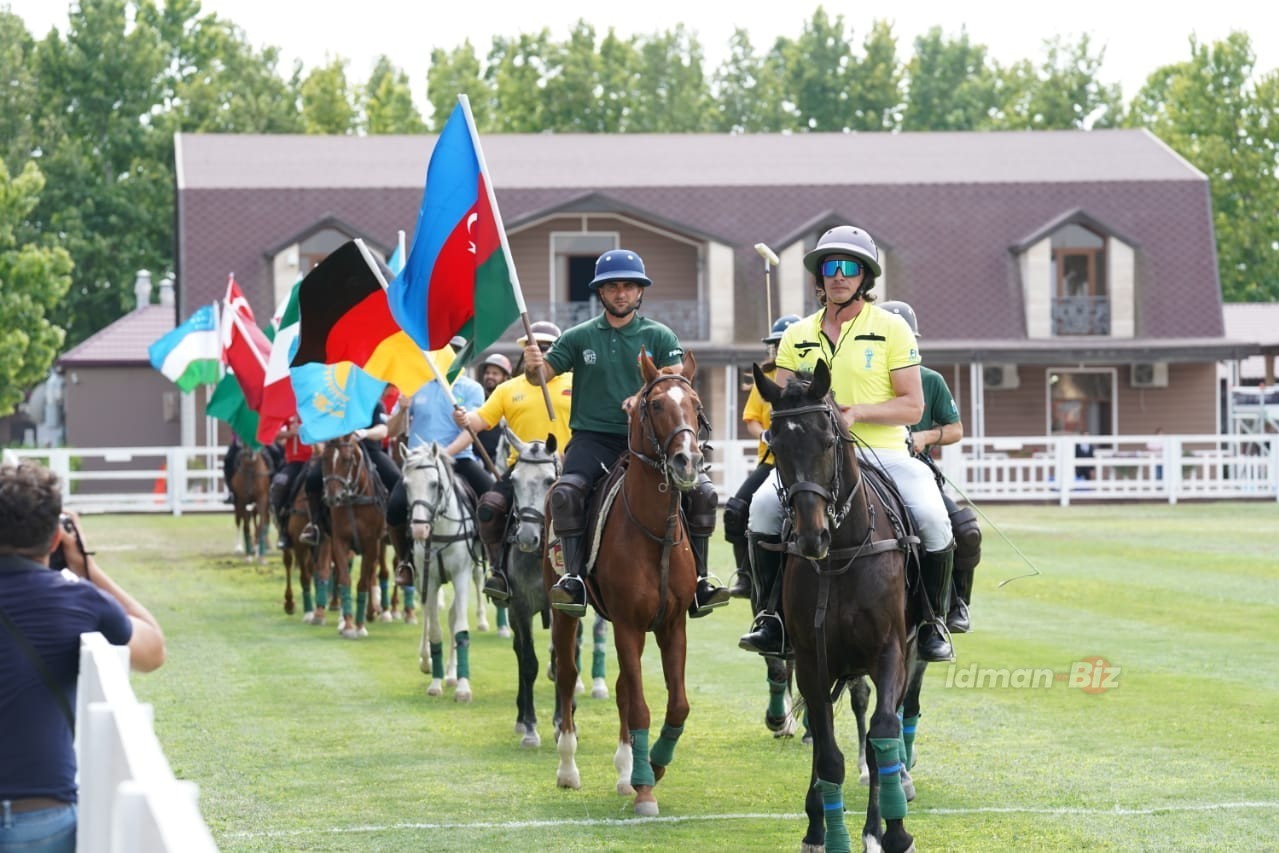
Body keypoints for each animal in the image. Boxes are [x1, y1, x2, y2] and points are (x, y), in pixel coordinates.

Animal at [318, 437, 386, 636]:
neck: (355, 501)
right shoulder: (339, 541)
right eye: (324, 458)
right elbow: (344, 579)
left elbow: (363, 581)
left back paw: (372, 613)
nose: (332, 498)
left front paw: (360, 626)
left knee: (371, 574)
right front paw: (348, 625)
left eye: (347, 460)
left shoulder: (371, 543)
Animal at [401, 439, 480, 700]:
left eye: (434, 484)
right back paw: (426, 661)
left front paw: (463, 686)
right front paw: (435, 683)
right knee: (428, 614)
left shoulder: (461, 575)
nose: (419, 530)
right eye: (405, 485)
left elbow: (460, 628)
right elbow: (435, 630)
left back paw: (453, 673)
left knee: (453, 616)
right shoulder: (431, 578)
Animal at [547, 350, 711, 818]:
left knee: (620, 686)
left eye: (695, 404)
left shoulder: (673, 625)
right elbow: (638, 706)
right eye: (655, 405)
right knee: (567, 677)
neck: (654, 530)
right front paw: (645, 790)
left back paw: (624, 770)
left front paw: (651, 766)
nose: (688, 461)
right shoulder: (627, 624)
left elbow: (677, 704)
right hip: (563, 611)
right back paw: (568, 769)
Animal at [752, 360, 925, 853]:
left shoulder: (891, 652)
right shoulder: (813, 658)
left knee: (881, 732)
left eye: (828, 441)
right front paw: (826, 833)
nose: (812, 537)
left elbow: (881, 735)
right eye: (776, 445)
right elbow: (827, 752)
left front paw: (892, 831)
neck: (842, 554)